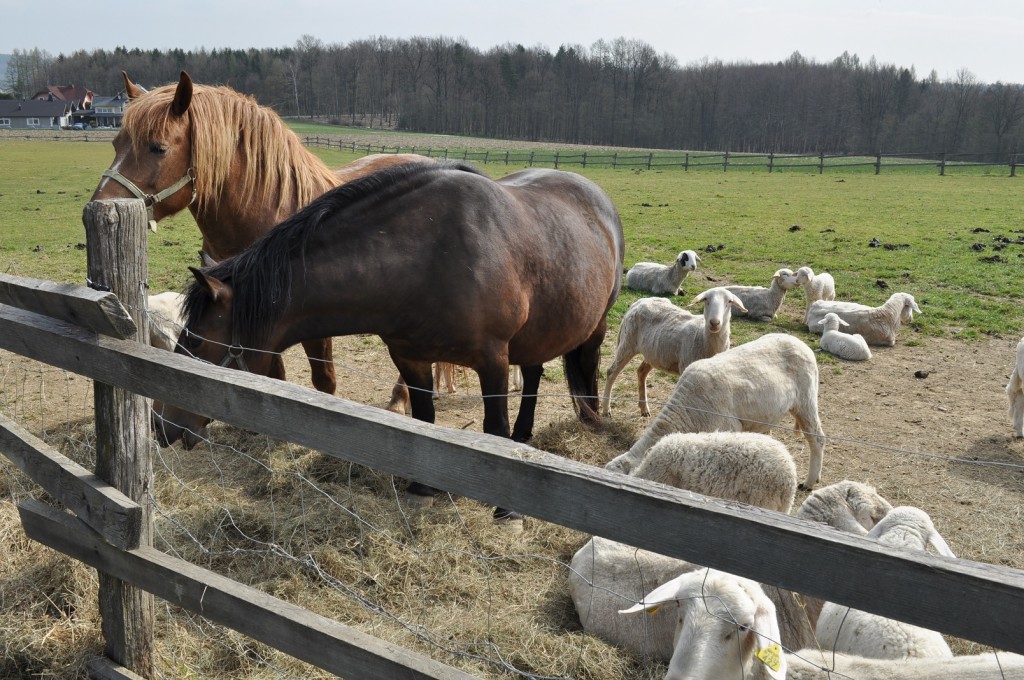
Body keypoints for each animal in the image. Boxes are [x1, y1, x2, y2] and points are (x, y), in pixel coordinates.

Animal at [156, 160, 626, 520]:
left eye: (195, 343)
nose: (161, 426)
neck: (428, 254)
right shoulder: (410, 358)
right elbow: (424, 422)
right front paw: (422, 487)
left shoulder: (492, 360)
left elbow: (493, 429)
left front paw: (505, 508)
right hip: (537, 334)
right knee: (532, 375)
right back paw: (524, 435)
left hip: (594, 328)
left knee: (575, 371)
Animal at [598, 284, 745, 413]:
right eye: (705, 300)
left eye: (729, 301)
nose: (714, 323)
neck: (703, 338)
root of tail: (639, 302)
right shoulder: (686, 366)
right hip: (627, 343)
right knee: (611, 372)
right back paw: (606, 408)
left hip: (653, 352)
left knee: (641, 371)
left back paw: (644, 408)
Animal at [602, 333, 827, 489]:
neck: (686, 411)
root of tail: (799, 342)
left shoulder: (727, 429)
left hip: (806, 399)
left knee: (817, 438)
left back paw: (810, 481)